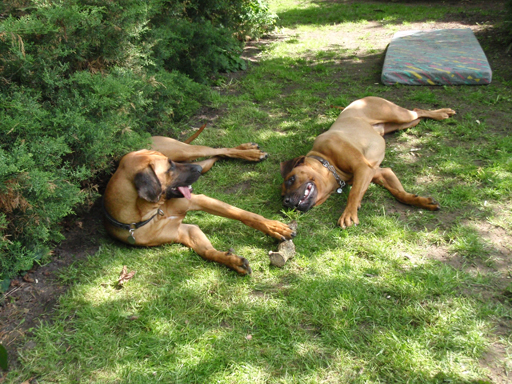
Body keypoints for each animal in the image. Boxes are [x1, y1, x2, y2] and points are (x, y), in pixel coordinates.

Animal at [280, 96, 456, 228]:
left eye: (291, 179)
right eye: (282, 194)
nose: (285, 202)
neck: (328, 162)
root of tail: (361, 99)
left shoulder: (362, 168)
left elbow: (354, 192)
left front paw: (349, 213)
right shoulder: (380, 172)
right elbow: (400, 194)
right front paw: (421, 201)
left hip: (398, 115)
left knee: (417, 111)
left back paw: (442, 113)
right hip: (403, 124)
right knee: (418, 113)